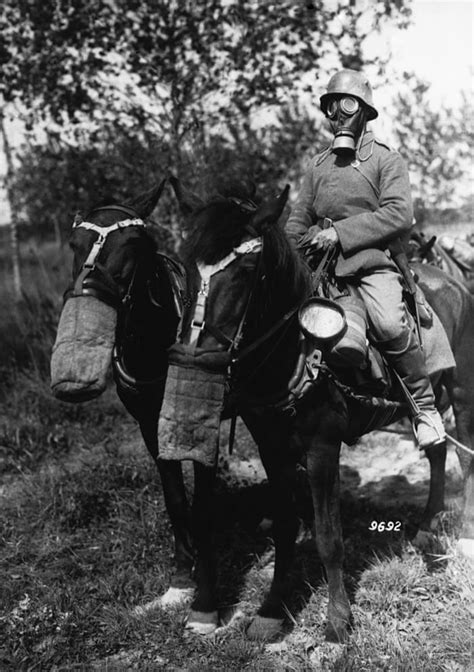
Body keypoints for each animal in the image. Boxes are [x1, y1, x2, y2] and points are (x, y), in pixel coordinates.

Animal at [163, 181, 474, 644]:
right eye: (187, 266)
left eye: (246, 270)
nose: (195, 357)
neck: (297, 349)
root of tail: (456, 283)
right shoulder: (271, 447)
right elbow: (285, 528)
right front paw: (272, 610)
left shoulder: (322, 447)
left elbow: (329, 538)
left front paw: (338, 619)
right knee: (436, 449)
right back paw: (426, 525)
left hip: (463, 390)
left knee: (465, 456)